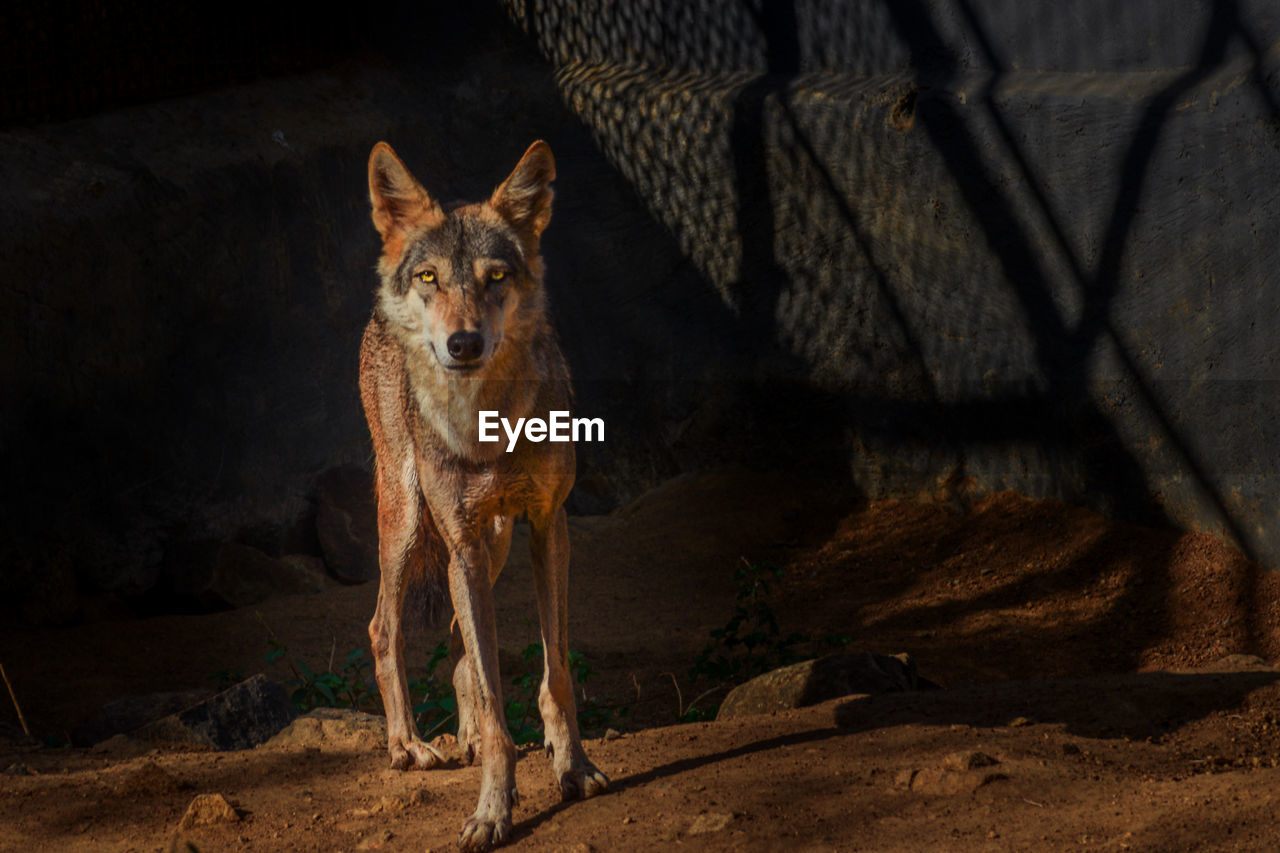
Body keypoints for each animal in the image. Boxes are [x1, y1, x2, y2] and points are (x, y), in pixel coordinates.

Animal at [353, 137, 606, 845]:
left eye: (496, 278)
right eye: (431, 278)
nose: (462, 343)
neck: (488, 422)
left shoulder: (549, 525)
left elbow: (555, 674)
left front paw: (573, 769)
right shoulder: (459, 540)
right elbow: (497, 703)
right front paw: (494, 809)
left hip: (491, 545)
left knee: (464, 654)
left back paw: (461, 737)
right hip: (409, 523)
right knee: (383, 627)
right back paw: (408, 746)